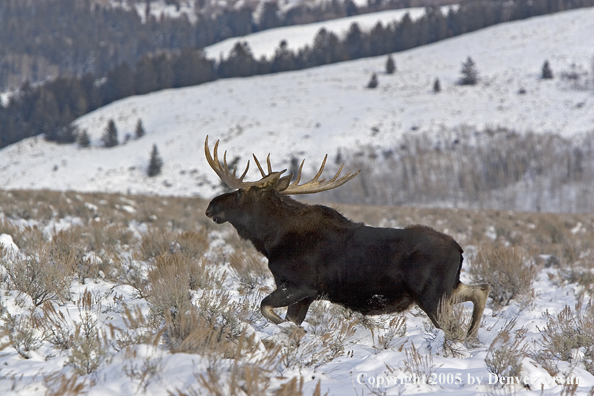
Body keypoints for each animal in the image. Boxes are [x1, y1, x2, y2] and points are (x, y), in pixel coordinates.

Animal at [205, 136, 490, 338]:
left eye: (240, 193)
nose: (211, 206)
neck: (270, 240)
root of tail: (460, 250)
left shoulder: (301, 285)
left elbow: (268, 308)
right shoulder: (303, 294)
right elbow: (286, 318)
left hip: (432, 295)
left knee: (455, 325)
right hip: (446, 289)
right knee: (481, 290)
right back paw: (472, 334)